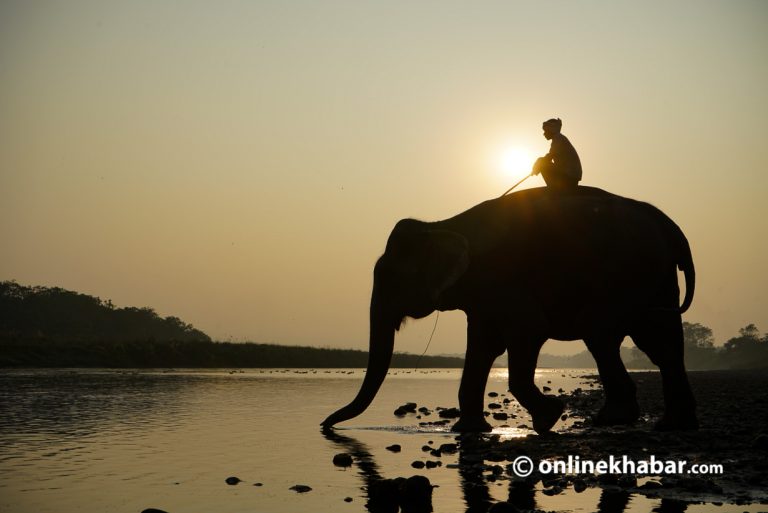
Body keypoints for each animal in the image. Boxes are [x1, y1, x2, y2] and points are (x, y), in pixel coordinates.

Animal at [320, 185, 700, 432]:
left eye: (391, 279)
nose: (325, 425)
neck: (444, 224)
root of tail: (670, 226)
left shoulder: (506, 280)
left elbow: (528, 330)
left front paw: (550, 416)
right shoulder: (482, 296)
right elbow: (481, 346)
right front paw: (470, 431)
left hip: (633, 274)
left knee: (623, 338)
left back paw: (633, 422)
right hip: (654, 278)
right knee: (650, 342)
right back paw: (662, 423)